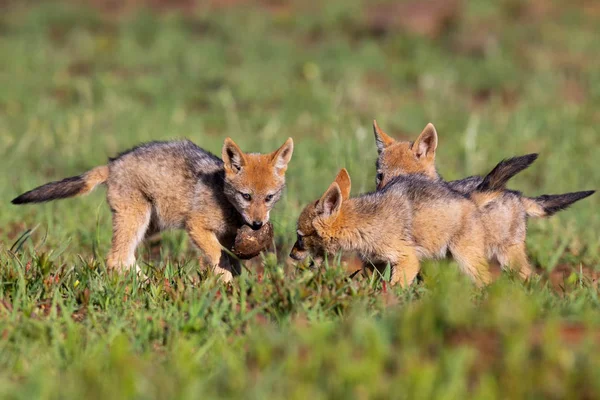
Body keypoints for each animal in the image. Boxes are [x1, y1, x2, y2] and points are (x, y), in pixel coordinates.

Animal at [11, 138, 292, 282]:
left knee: (123, 257)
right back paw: (150, 284)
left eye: (269, 198)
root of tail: (112, 163)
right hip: (138, 220)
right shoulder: (196, 227)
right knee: (117, 258)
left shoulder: (226, 236)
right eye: (246, 196)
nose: (257, 224)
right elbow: (218, 259)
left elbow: (232, 262)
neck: (226, 202)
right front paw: (225, 289)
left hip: (149, 227)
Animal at [290, 169, 492, 288]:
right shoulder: (375, 264)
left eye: (299, 237)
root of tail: (470, 199)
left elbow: (394, 289)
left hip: (466, 261)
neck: (363, 224)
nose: (291, 255)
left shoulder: (407, 259)